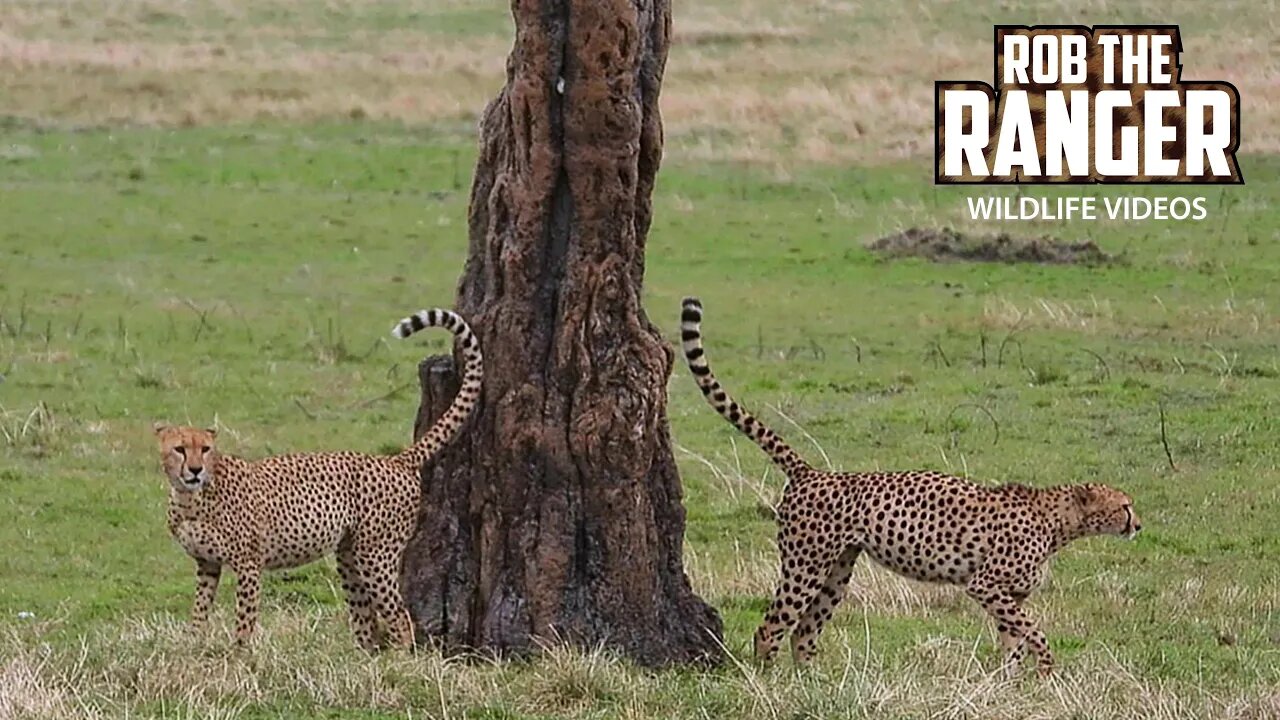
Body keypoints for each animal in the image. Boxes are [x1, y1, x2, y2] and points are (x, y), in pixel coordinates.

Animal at [154, 304, 481, 648]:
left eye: (204, 449)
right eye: (179, 449)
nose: (195, 469)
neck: (190, 497)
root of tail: (394, 460)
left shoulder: (248, 564)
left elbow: (244, 619)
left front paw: (239, 654)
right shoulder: (207, 564)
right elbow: (199, 610)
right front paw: (194, 644)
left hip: (375, 554)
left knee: (400, 616)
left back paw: (400, 658)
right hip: (349, 557)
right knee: (364, 617)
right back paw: (363, 656)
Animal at [680, 297, 1141, 671]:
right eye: (1124, 505)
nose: (1138, 525)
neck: (1059, 522)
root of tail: (813, 472)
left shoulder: (1009, 594)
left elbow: (1014, 639)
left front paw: (1006, 683)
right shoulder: (985, 585)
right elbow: (1033, 630)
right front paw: (1045, 670)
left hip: (837, 571)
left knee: (804, 630)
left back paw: (813, 682)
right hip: (806, 564)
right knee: (772, 626)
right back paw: (768, 680)